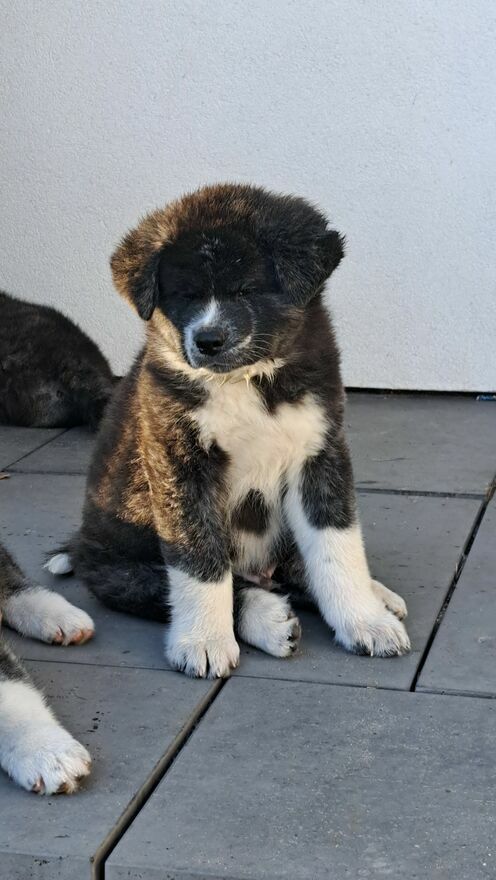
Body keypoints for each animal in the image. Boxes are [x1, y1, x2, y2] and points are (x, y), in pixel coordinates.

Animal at [48, 183, 410, 678]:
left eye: (246, 290)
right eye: (184, 295)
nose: (208, 341)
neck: (246, 381)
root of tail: (82, 544)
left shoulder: (320, 451)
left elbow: (337, 545)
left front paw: (365, 621)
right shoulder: (179, 464)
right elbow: (200, 559)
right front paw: (204, 641)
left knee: (297, 567)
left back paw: (377, 597)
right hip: (119, 566)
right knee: (178, 584)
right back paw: (266, 618)